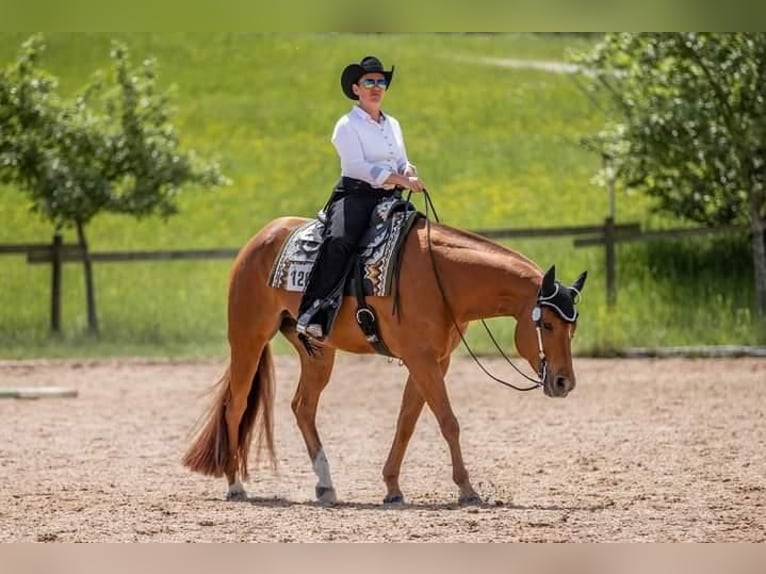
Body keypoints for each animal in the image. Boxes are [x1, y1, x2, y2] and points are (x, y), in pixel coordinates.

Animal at [182, 214, 588, 506]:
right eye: (547, 323)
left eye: (574, 326)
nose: (564, 382)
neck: (444, 278)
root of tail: (260, 239)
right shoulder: (421, 360)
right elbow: (448, 421)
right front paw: (467, 489)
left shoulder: (434, 362)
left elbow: (406, 422)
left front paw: (392, 488)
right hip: (247, 339)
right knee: (235, 407)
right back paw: (235, 485)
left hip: (317, 353)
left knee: (302, 407)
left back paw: (326, 486)